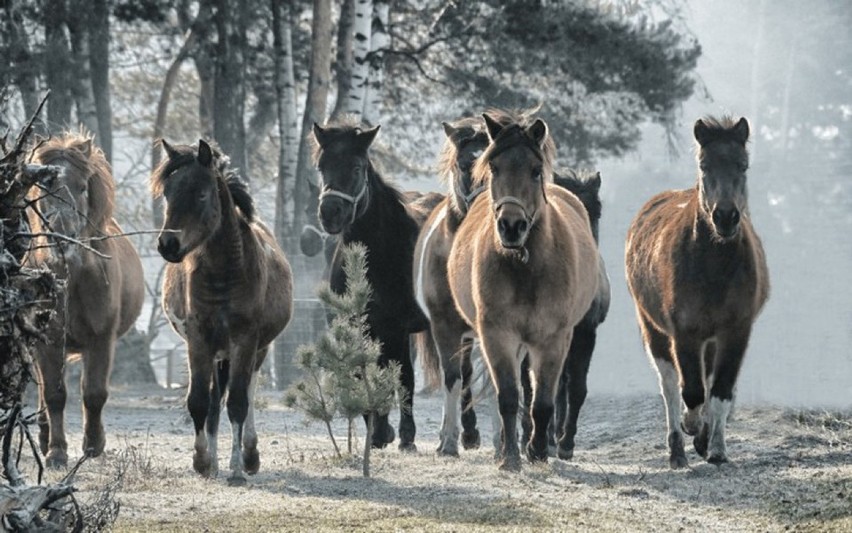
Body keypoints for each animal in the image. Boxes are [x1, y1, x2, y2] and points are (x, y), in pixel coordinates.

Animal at [25, 132, 144, 466]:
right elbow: (54, 394)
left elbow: (94, 393)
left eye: (82, 186)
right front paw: (56, 451)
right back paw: (43, 437)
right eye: (43, 185)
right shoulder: (49, 341)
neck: (73, 278)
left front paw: (93, 445)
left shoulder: (101, 339)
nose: (62, 237)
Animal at [153, 139, 296, 484]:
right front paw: (203, 461)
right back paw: (217, 461)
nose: (168, 244)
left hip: (256, 350)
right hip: (218, 353)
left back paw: (249, 456)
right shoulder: (198, 339)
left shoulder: (245, 340)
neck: (224, 271)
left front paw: (237, 468)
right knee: (216, 401)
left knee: (248, 393)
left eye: (202, 194)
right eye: (167, 193)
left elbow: (239, 403)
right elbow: (199, 402)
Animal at [446, 112, 600, 470]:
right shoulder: (497, 335)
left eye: (534, 169)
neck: (524, 267)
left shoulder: (554, 338)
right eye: (494, 167)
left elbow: (542, 399)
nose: (511, 226)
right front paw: (510, 457)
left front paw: (539, 451)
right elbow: (508, 396)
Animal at [624, 115, 768, 466]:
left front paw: (714, 447)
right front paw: (693, 427)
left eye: (743, 165)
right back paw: (677, 449)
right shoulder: (684, 333)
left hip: (711, 340)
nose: (726, 217)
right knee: (670, 386)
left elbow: (720, 391)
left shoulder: (734, 333)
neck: (714, 268)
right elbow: (691, 391)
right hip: (654, 330)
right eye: (704, 165)